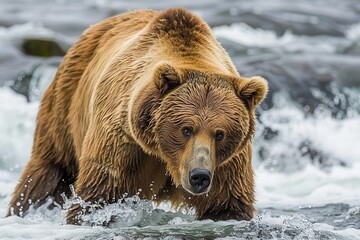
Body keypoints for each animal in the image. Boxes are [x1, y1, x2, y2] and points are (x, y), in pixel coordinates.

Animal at [7, 7, 268, 225]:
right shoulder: (121, 141)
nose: (199, 176)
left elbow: (226, 204)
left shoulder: (228, 163)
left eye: (220, 134)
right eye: (186, 128)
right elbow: (99, 196)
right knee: (47, 174)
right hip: (66, 102)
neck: (163, 155)